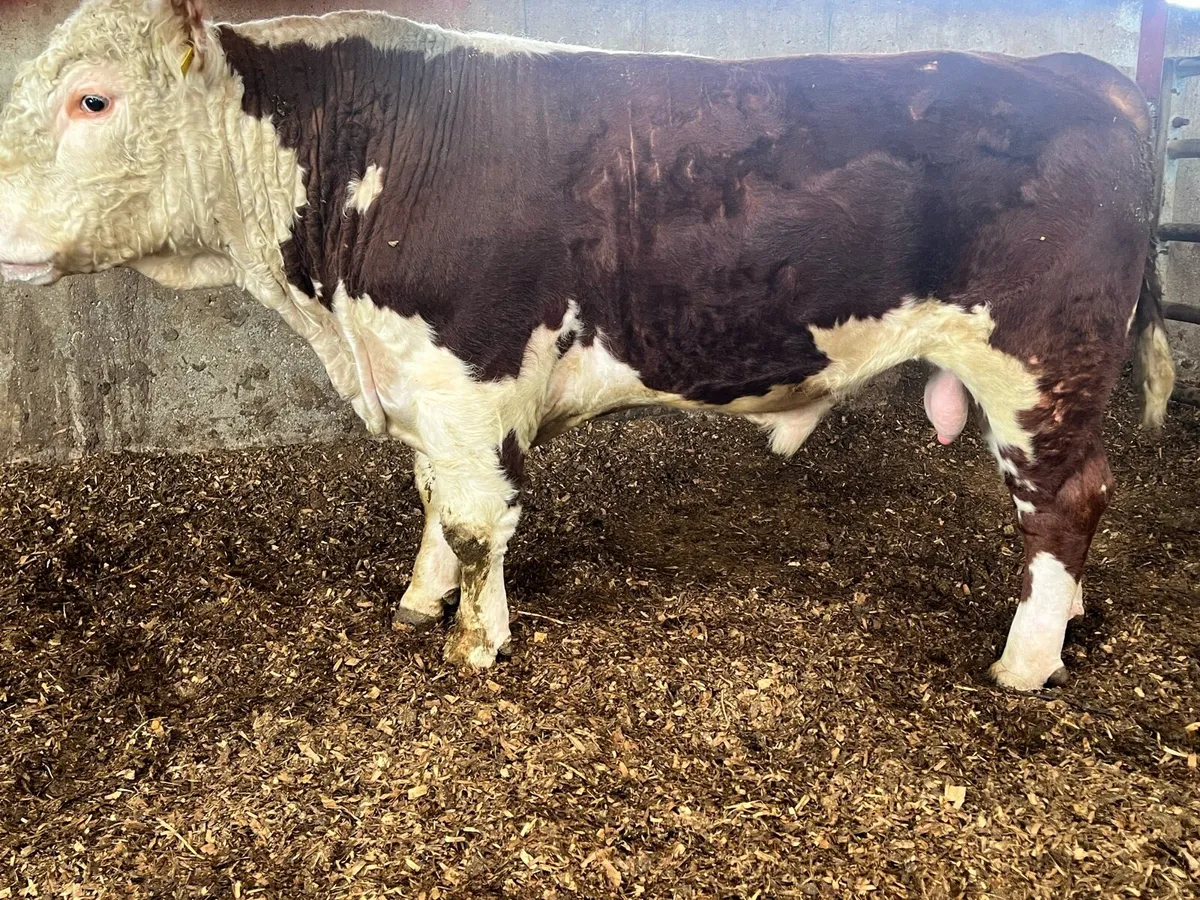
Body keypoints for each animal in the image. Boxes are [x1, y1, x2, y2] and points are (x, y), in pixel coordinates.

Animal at [0, 0, 1177, 689]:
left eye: (92, 99)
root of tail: (1090, 73)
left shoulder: (469, 371)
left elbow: (476, 520)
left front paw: (475, 642)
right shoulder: (422, 383)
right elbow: (433, 499)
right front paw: (419, 601)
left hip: (1039, 365)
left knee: (1066, 500)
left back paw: (1025, 660)